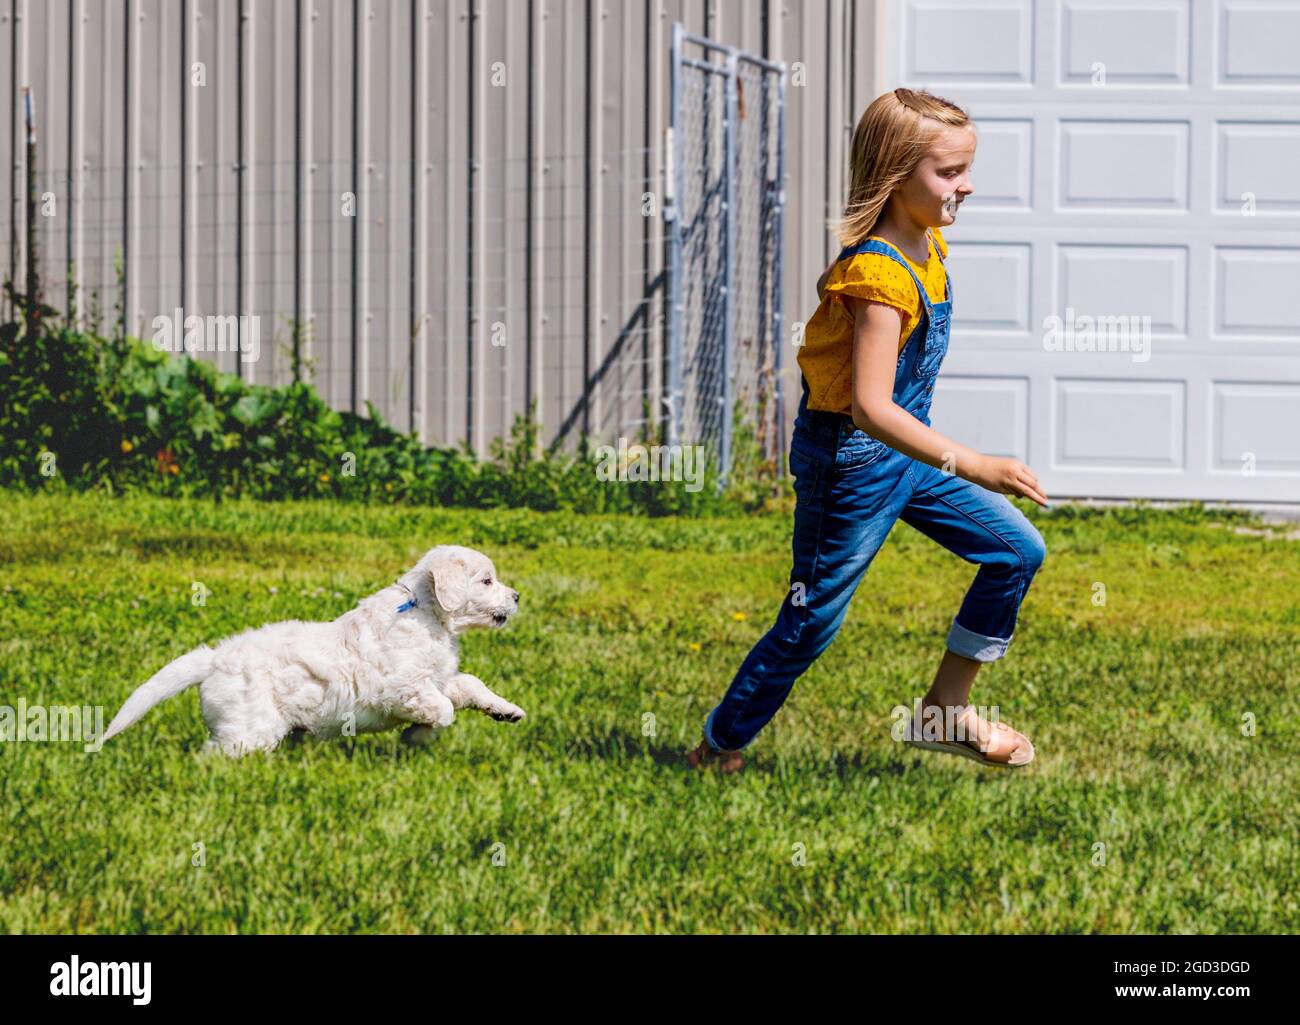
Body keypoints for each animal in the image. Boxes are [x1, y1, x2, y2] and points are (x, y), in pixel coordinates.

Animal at [102, 543, 522, 754]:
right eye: (487, 581)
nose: (517, 596)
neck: (426, 612)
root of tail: (216, 658)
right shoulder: (401, 687)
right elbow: (444, 710)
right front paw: (414, 738)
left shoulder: (437, 678)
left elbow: (468, 686)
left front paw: (506, 710)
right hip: (250, 728)